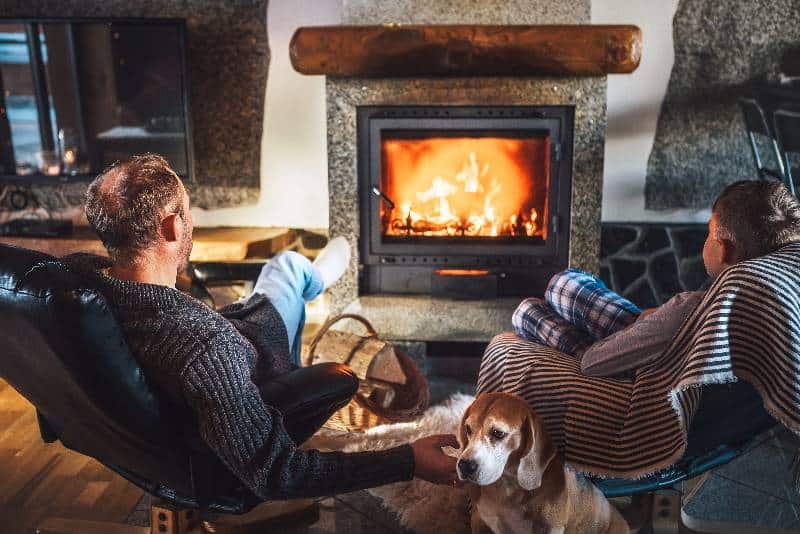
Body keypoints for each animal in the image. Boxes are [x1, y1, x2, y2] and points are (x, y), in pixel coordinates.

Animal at [454, 394, 628, 534]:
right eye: (468, 429)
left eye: (498, 433)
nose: (465, 465)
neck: (505, 489)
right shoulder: (483, 522)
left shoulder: (552, 528)